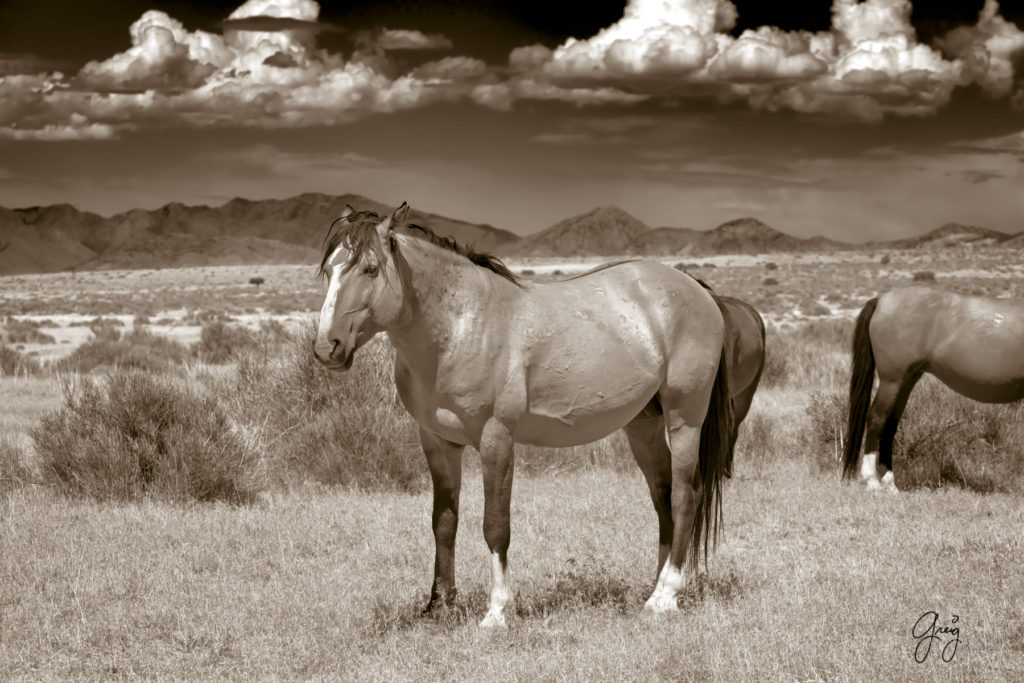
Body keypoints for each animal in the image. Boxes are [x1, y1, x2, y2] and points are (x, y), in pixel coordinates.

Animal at [315, 201, 733, 626]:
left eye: (370, 268)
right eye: (329, 269)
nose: (326, 348)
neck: (460, 326)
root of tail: (697, 290)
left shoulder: (496, 440)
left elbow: (496, 525)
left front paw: (497, 611)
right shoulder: (438, 443)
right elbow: (444, 522)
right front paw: (438, 606)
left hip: (685, 418)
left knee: (685, 496)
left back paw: (666, 596)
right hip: (644, 425)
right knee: (662, 498)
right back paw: (655, 588)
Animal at [843, 286, 1024, 491]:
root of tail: (881, 300)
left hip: (906, 381)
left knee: (890, 424)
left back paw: (889, 484)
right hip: (892, 381)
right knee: (876, 418)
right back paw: (871, 480)